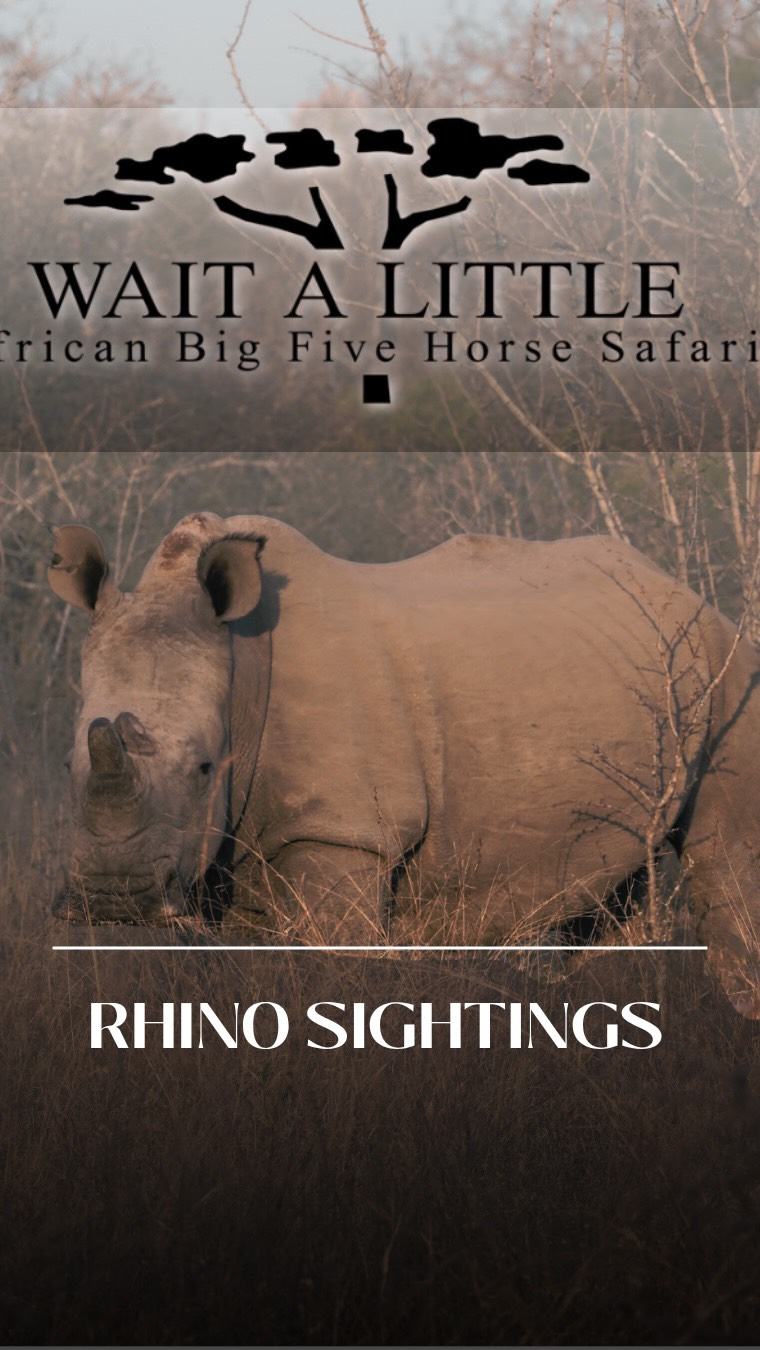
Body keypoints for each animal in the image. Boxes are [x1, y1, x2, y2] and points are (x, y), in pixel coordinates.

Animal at [48, 511, 760, 1016]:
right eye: (66, 764)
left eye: (202, 769)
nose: (113, 896)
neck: (241, 664)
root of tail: (687, 594)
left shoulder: (344, 830)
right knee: (613, 888)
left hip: (726, 665)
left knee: (724, 859)